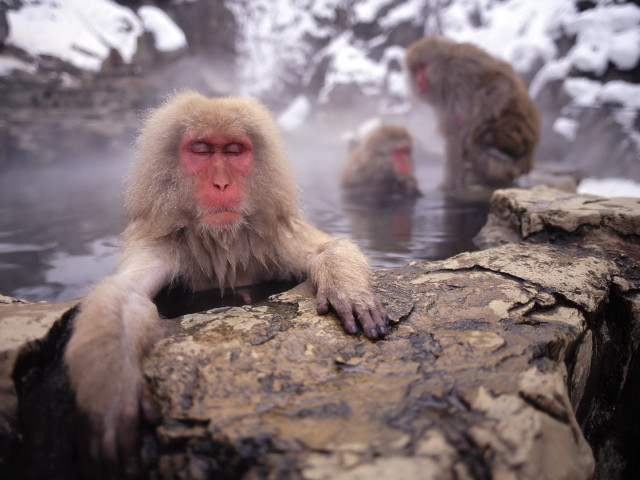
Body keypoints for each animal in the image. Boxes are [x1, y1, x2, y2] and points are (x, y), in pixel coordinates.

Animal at [63, 91, 389, 476]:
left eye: (234, 150)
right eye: (201, 150)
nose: (221, 184)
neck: (222, 242)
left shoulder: (273, 236)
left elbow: (328, 247)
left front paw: (348, 291)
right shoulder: (159, 245)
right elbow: (124, 295)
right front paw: (115, 391)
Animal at [405, 35, 541, 191]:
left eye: (422, 66)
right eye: (415, 70)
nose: (418, 80)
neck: (446, 71)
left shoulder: (463, 67)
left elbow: (500, 77)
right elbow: (452, 131)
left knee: (484, 131)